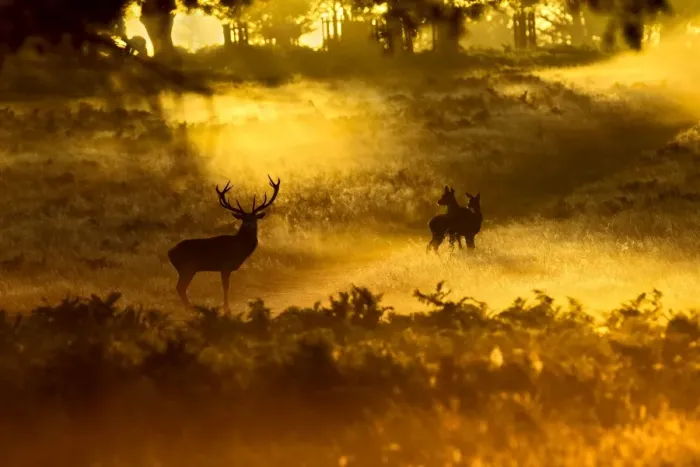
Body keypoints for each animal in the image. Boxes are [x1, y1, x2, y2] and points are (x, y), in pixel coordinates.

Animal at [167, 175, 281, 311]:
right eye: (244, 219)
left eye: (254, 219)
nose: (249, 225)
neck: (239, 248)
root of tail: (170, 253)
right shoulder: (225, 266)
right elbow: (226, 287)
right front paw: (226, 307)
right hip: (188, 267)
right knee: (180, 287)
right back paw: (189, 307)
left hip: (186, 269)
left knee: (180, 288)